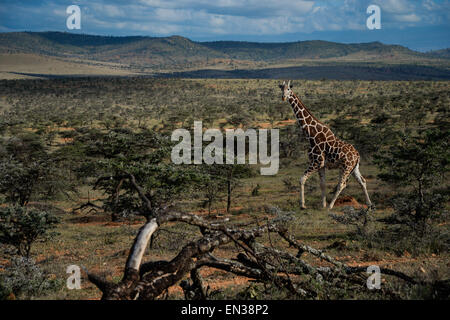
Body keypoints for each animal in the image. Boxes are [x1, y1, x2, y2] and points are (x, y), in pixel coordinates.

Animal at [278, 80, 372, 210]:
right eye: (281, 88)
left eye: (289, 89)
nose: (283, 97)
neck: (311, 134)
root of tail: (357, 155)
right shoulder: (321, 165)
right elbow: (322, 184)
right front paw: (322, 204)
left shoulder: (316, 162)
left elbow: (302, 179)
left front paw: (303, 205)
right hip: (354, 168)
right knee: (362, 181)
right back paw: (369, 204)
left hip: (346, 167)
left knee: (342, 184)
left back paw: (331, 206)